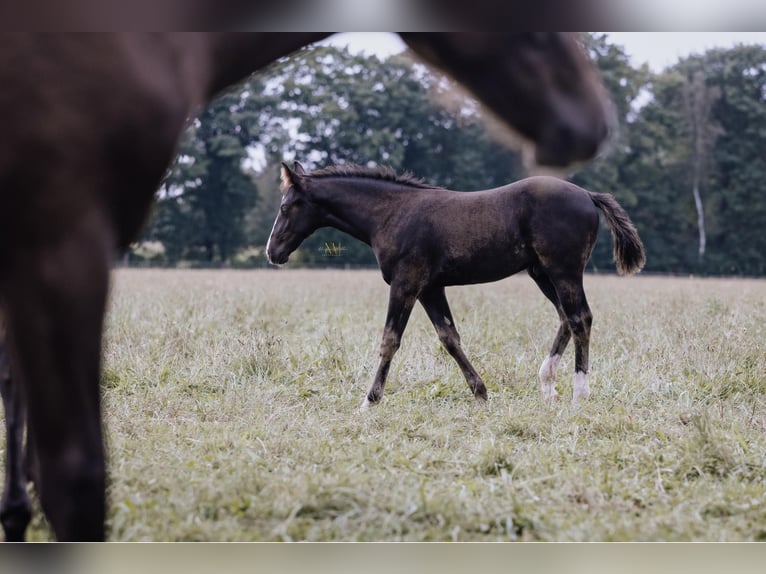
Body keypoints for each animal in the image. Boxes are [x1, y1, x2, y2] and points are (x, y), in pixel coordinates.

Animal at [268, 164, 644, 412]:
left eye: (286, 206)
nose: (272, 252)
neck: (391, 214)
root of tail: (588, 195)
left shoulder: (406, 282)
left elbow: (390, 340)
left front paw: (368, 401)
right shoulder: (431, 288)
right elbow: (449, 338)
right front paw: (481, 393)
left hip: (563, 270)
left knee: (580, 318)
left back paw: (580, 393)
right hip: (542, 273)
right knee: (566, 317)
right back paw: (548, 386)